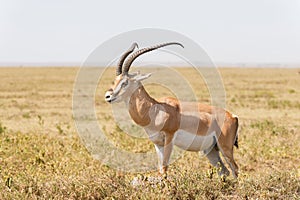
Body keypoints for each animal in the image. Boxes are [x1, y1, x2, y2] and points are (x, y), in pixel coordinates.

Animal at [105, 41, 239, 178]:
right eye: (115, 80)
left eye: (125, 82)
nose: (108, 96)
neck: (156, 110)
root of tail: (233, 116)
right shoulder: (158, 143)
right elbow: (160, 168)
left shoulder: (169, 139)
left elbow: (164, 168)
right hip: (211, 150)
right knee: (224, 171)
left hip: (225, 148)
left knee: (235, 169)